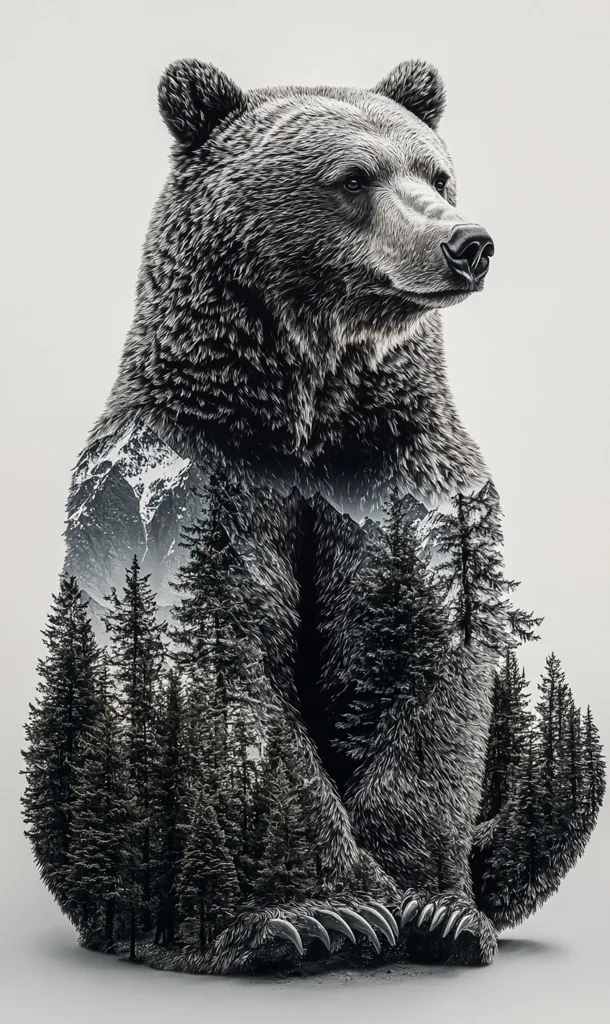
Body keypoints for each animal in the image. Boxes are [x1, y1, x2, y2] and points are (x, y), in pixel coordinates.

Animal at [84, 57, 508, 972]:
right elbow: (225, 666)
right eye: (352, 178)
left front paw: (437, 908)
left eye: (438, 173)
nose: (467, 243)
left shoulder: (400, 475)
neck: (306, 416)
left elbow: (428, 659)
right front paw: (325, 913)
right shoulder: (198, 484)